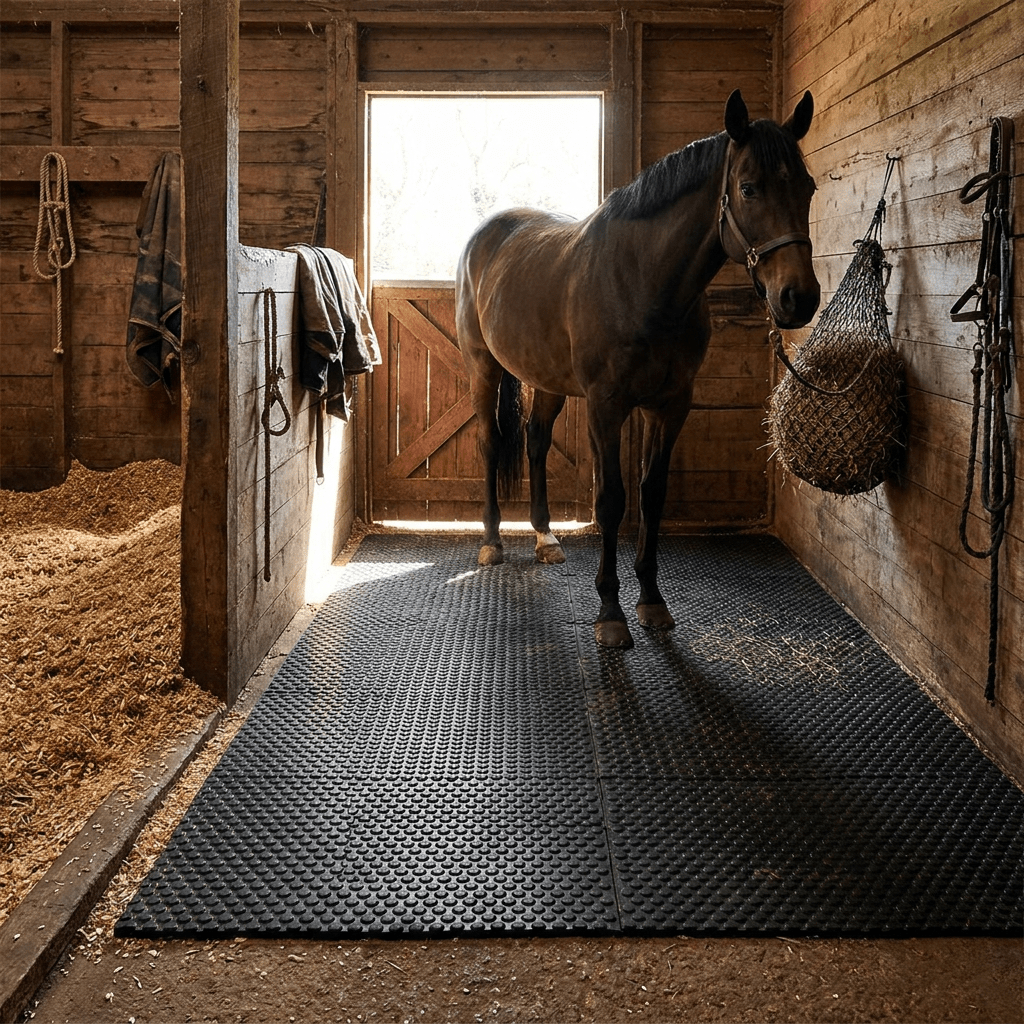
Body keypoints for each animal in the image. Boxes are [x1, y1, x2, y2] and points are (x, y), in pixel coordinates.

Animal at [455, 89, 820, 649]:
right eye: (748, 188)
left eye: (808, 187)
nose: (798, 298)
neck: (643, 282)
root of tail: (486, 235)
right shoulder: (607, 407)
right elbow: (611, 500)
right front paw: (610, 612)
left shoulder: (668, 405)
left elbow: (652, 494)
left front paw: (651, 600)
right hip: (483, 367)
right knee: (492, 443)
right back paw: (493, 541)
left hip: (546, 380)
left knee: (536, 442)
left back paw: (544, 536)